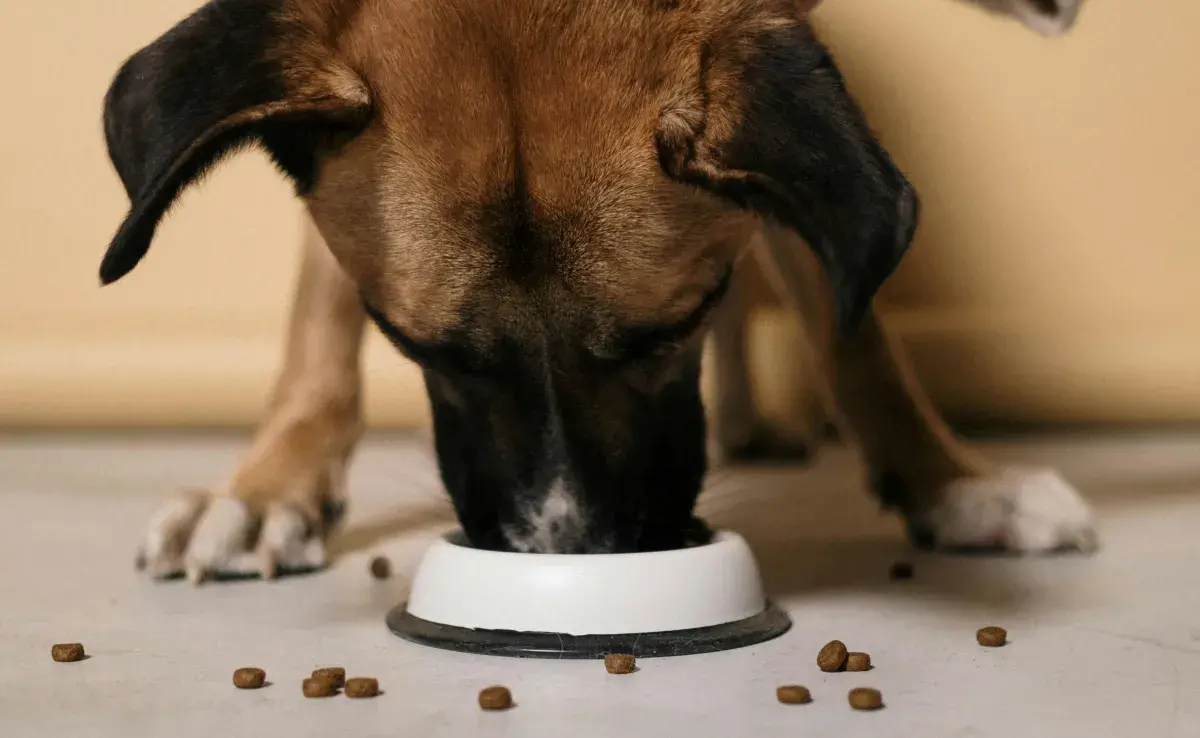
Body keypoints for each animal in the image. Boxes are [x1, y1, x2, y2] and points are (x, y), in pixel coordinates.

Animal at [100, 0, 1099, 583]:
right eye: (421, 348)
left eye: (670, 330)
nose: (569, 551)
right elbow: (320, 319)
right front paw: (269, 484)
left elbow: (850, 322)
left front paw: (952, 482)